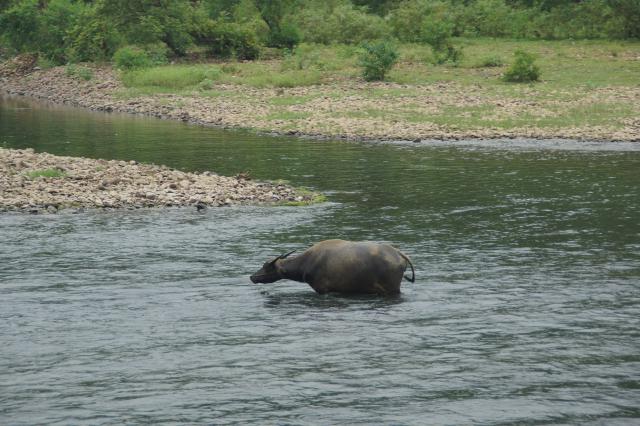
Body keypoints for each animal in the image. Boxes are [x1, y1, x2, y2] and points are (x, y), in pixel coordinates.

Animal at [250, 240, 416, 296]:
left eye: (266, 267)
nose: (252, 277)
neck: (306, 263)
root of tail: (400, 254)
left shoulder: (322, 289)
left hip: (393, 289)